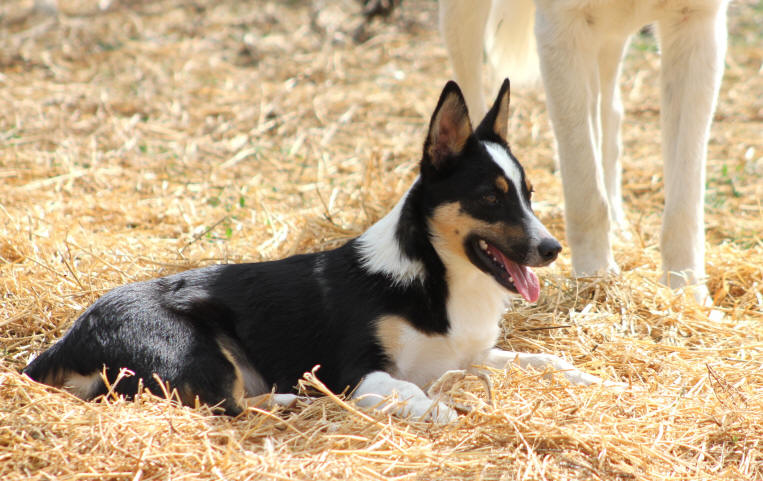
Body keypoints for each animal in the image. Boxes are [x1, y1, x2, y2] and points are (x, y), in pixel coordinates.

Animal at [25, 80, 616, 422]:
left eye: (529, 194)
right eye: (491, 198)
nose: (551, 249)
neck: (436, 276)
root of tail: (63, 344)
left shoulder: (471, 355)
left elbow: (547, 360)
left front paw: (600, 380)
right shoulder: (356, 374)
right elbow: (423, 399)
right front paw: (459, 411)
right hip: (194, 350)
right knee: (226, 406)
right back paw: (291, 401)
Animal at [438, 0, 732, 300]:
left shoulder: (698, 23)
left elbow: (684, 203)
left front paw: (685, 288)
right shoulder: (562, 29)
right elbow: (586, 188)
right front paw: (595, 277)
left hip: (611, 39)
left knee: (610, 112)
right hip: (463, 17)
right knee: (470, 92)